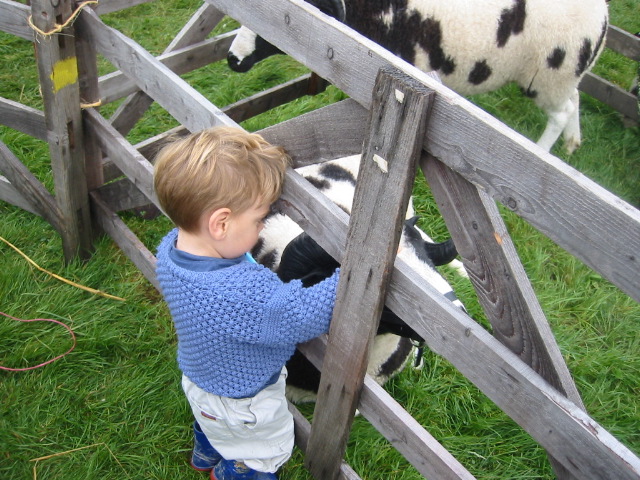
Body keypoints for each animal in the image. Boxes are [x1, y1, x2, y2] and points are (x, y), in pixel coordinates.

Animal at [228, 0, 608, 153]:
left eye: (282, 18)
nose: (233, 60)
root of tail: (604, 13)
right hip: (565, 75)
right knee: (574, 100)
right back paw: (573, 144)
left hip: (549, 73)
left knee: (560, 112)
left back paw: (543, 151)